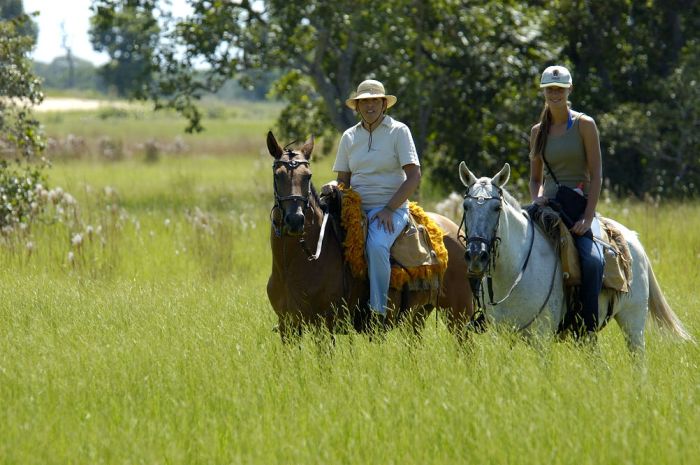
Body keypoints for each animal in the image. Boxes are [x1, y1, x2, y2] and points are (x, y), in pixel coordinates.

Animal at [266, 130, 474, 340]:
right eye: (277, 175)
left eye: (307, 176)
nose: (295, 220)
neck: (294, 264)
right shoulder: (287, 328)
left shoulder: (325, 327)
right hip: (418, 316)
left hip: (459, 314)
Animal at [456, 160, 692, 352]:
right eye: (466, 206)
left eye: (496, 207)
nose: (476, 256)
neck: (513, 273)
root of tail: (632, 238)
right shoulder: (503, 335)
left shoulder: (541, 337)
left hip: (633, 323)